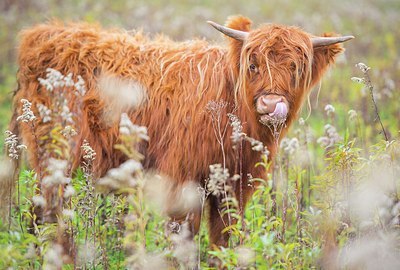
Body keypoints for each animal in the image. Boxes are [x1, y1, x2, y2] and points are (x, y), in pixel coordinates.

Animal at [10, 15, 354, 246]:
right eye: (253, 65)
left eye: (297, 68)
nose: (271, 104)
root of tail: (43, 34)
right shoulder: (183, 180)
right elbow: (183, 236)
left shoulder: (235, 187)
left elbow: (222, 239)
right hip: (55, 155)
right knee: (48, 213)